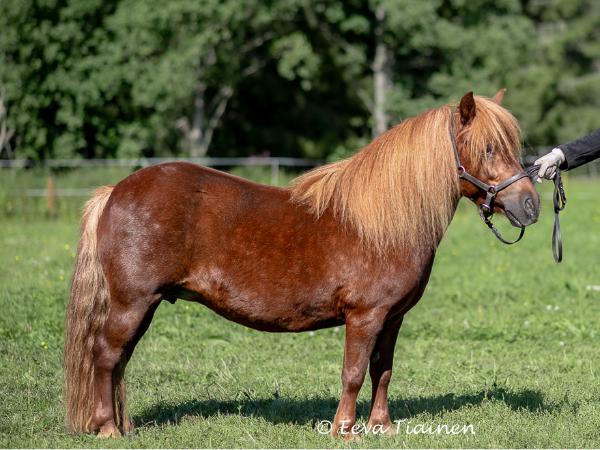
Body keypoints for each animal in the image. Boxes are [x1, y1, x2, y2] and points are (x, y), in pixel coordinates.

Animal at [64, 90, 540, 438]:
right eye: (488, 148)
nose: (531, 206)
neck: (382, 223)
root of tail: (116, 191)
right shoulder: (365, 316)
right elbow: (353, 373)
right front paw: (344, 430)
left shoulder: (392, 318)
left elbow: (382, 371)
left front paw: (381, 427)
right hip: (133, 302)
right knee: (106, 355)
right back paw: (108, 429)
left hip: (144, 305)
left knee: (119, 360)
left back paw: (122, 425)